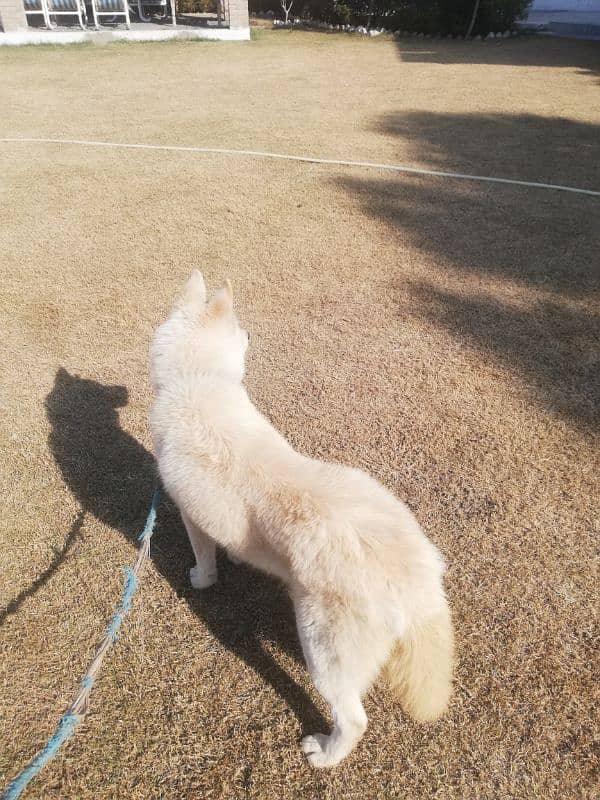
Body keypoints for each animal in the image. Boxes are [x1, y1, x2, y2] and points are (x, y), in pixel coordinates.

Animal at [150, 274, 454, 768]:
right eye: (239, 329)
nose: (251, 334)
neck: (196, 379)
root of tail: (412, 572)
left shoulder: (191, 515)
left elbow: (205, 560)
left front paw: (201, 578)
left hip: (322, 646)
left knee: (353, 719)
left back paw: (325, 754)